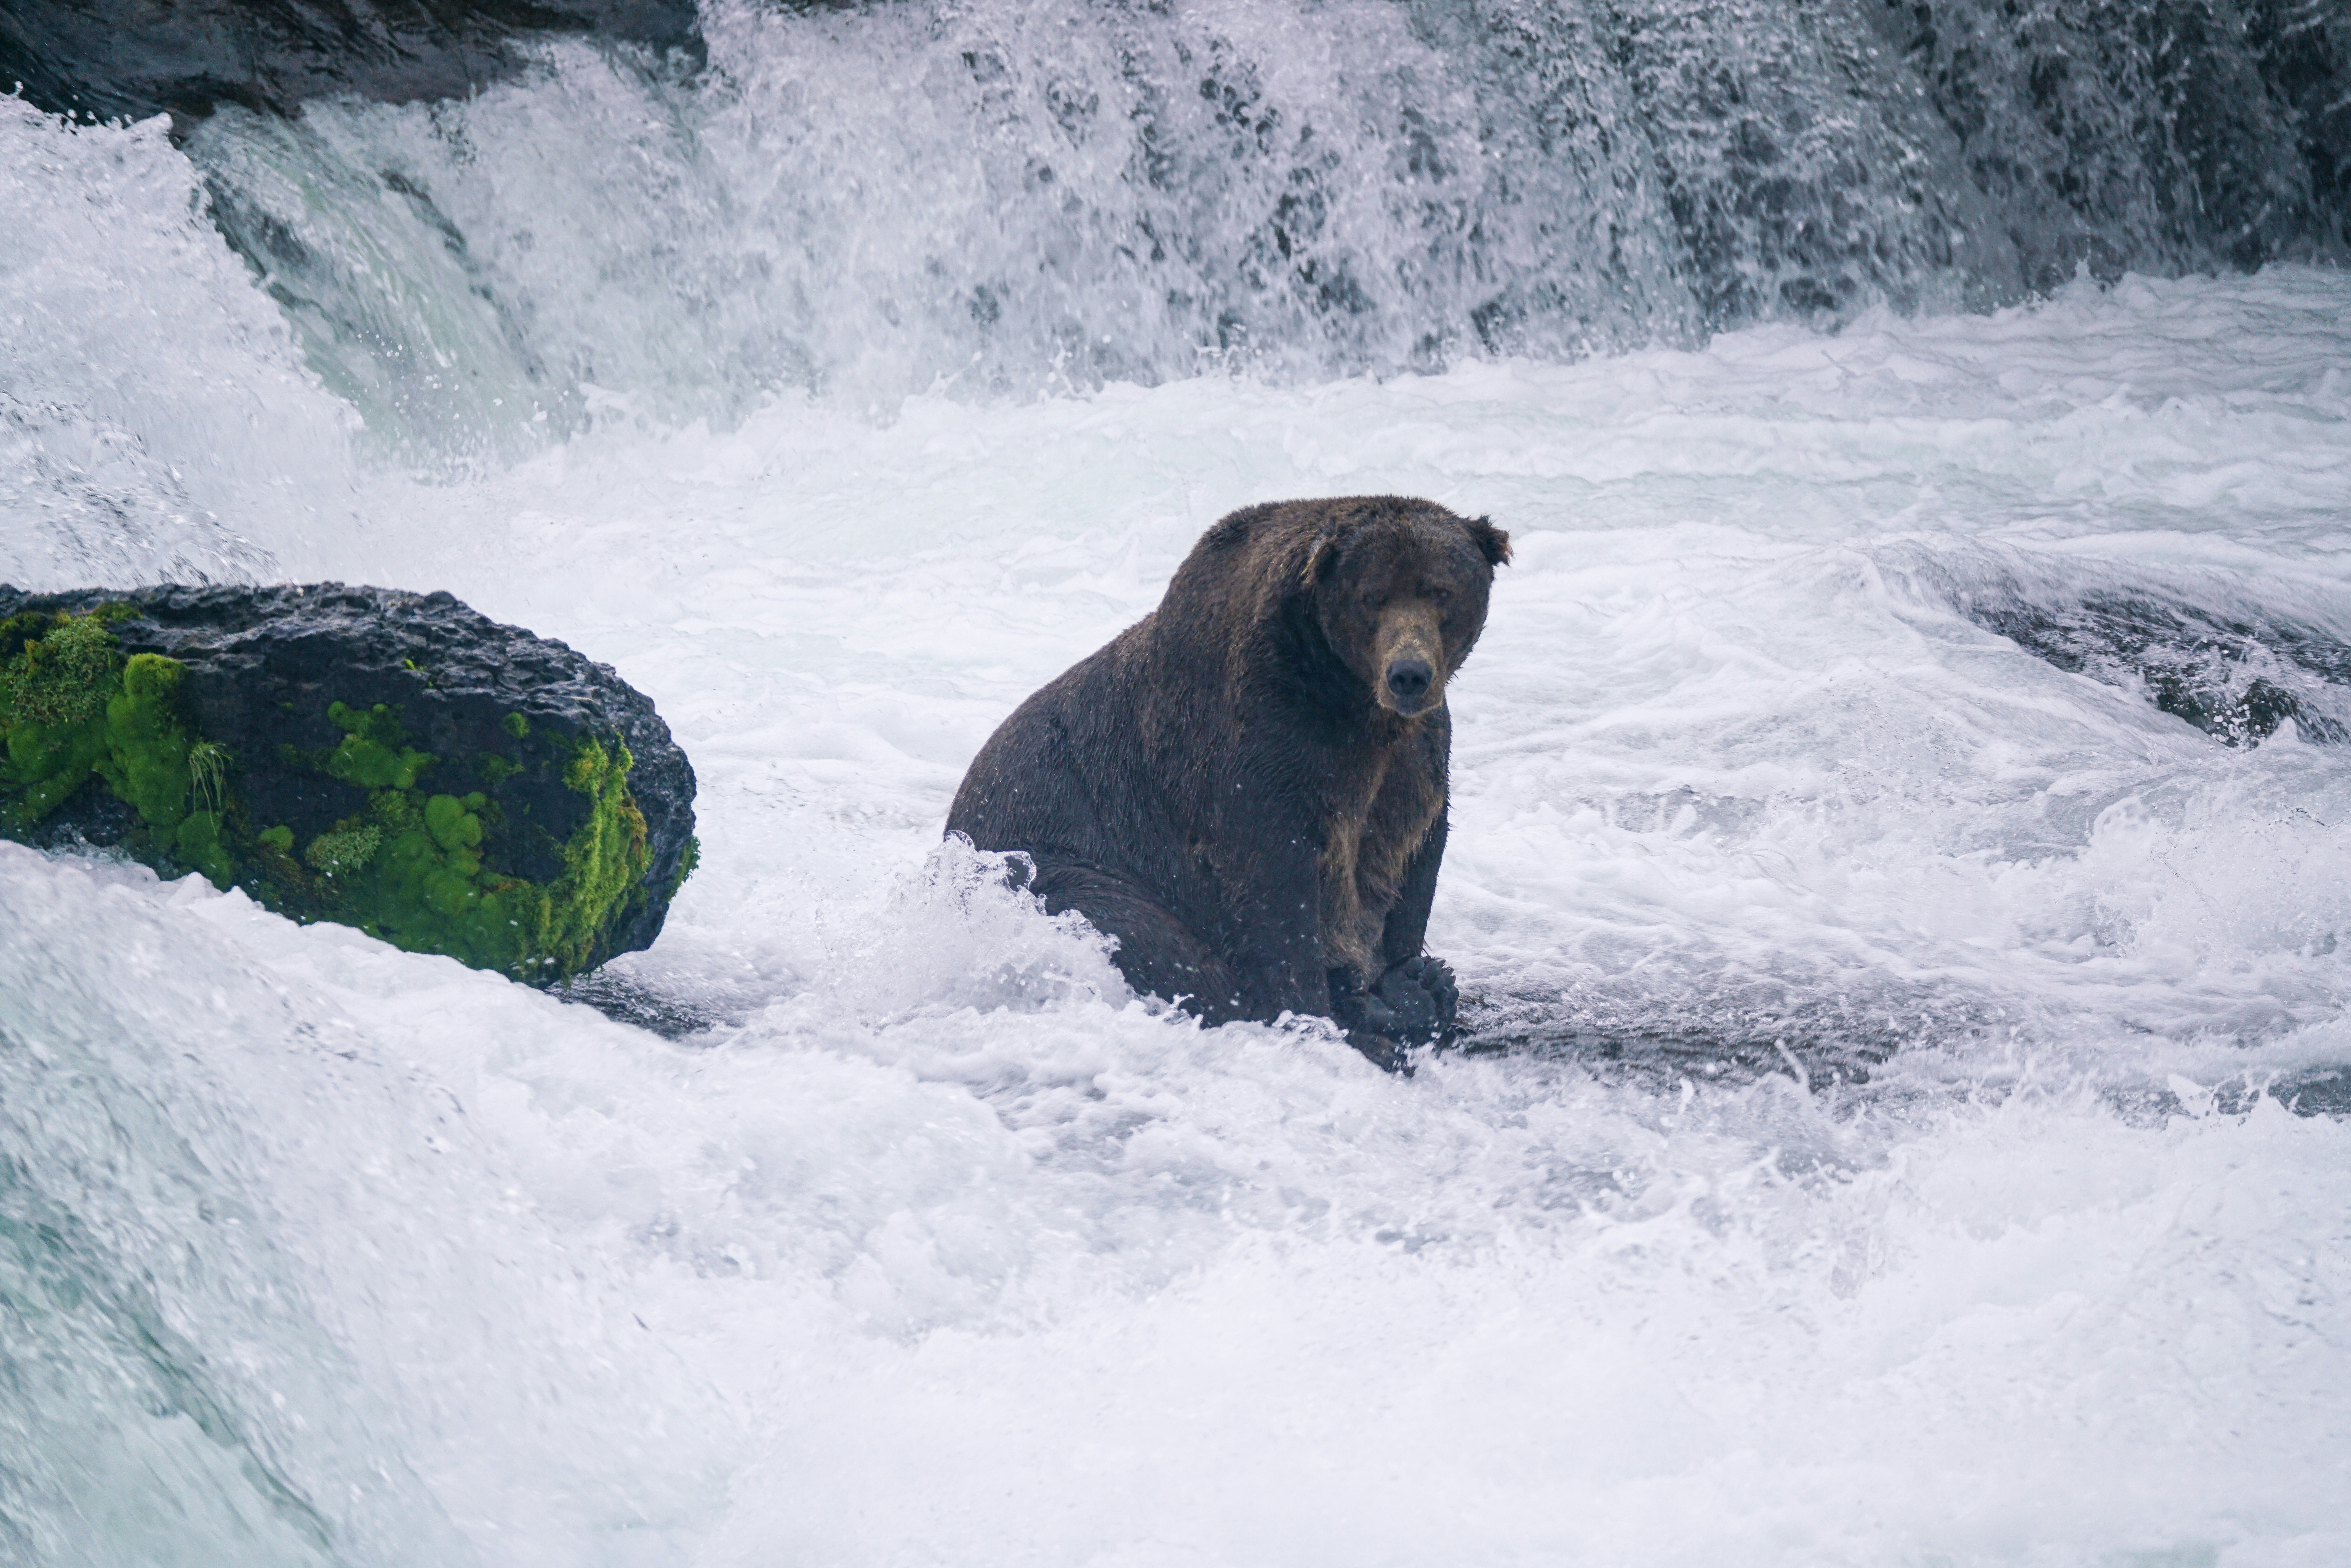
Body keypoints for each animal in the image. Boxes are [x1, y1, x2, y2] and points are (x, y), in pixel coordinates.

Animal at [945, 495, 1510, 1068]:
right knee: (1137, 932)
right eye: (1373, 596)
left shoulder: (1412, 762)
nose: (1409, 674)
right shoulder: (1255, 743)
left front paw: (1405, 977)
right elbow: (1273, 887)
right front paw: (1334, 1016)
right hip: (1055, 860)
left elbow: (1412, 858)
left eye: (1440, 590)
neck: (1348, 698)